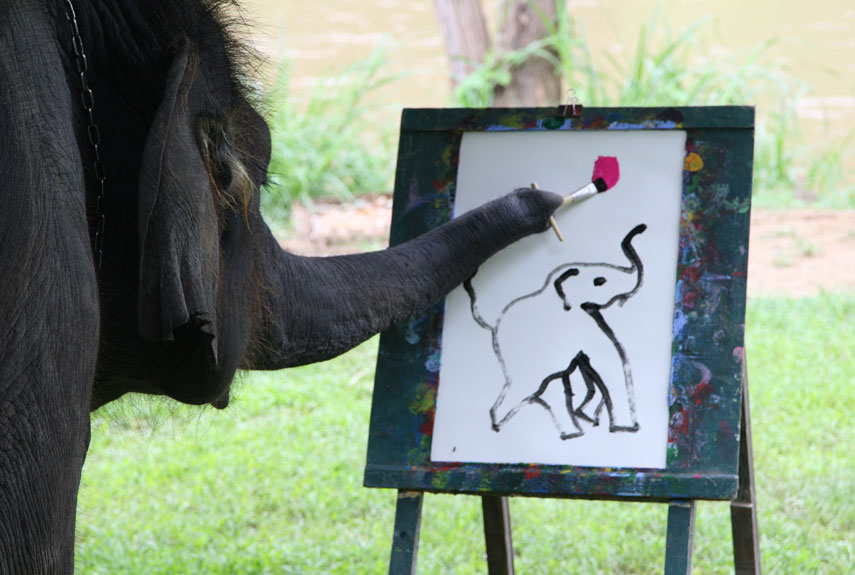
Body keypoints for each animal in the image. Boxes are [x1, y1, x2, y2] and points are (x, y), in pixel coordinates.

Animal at [463, 224, 647, 440]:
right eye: (600, 280)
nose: (641, 229)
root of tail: (495, 322)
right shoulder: (578, 323)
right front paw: (623, 427)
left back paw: (572, 432)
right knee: (521, 388)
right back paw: (498, 426)